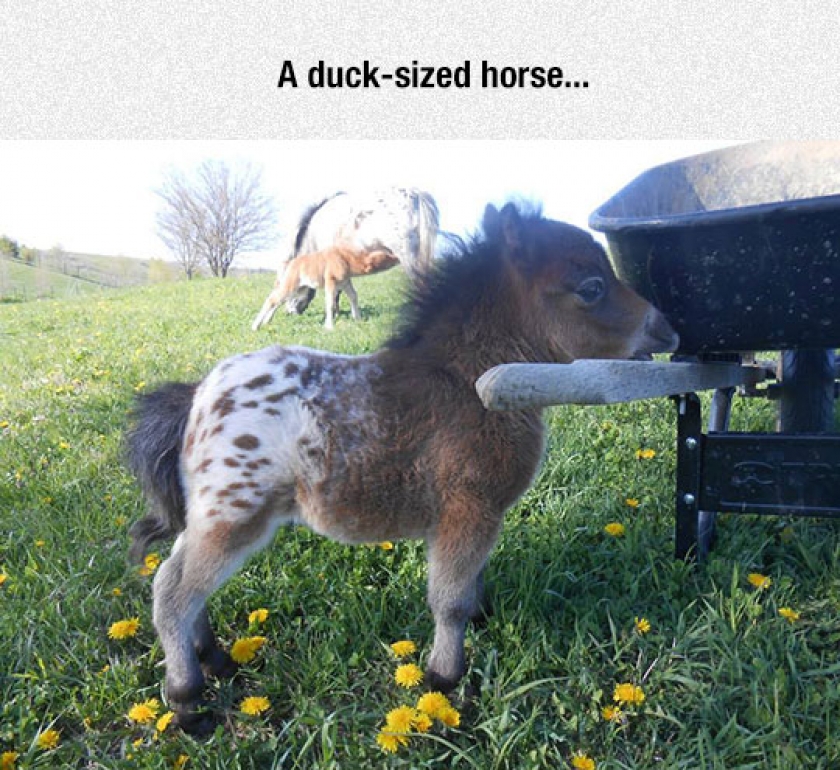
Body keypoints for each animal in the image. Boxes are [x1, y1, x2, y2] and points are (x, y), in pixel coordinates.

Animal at [251, 242, 400, 330]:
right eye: (386, 256)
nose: (397, 257)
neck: (346, 259)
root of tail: (291, 263)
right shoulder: (331, 282)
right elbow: (330, 303)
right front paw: (329, 326)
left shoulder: (345, 282)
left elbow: (353, 296)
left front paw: (358, 319)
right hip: (291, 285)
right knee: (272, 299)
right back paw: (255, 326)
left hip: (298, 289)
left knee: (278, 301)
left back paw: (266, 322)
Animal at [263, 187, 439, 320]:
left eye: (288, 282)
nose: (289, 312)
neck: (315, 234)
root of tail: (415, 195)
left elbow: (334, 292)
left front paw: (334, 314)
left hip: (408, 257)